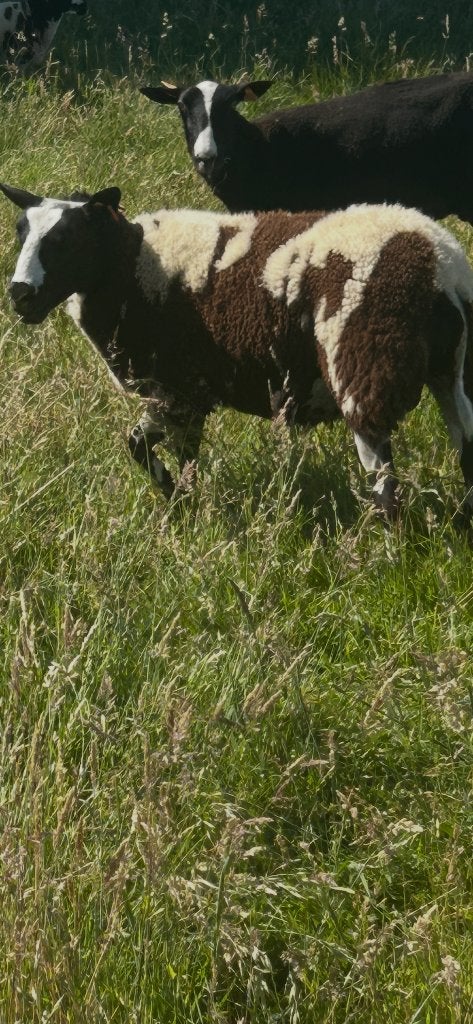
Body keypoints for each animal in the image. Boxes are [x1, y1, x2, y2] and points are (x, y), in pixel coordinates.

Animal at [2, 180, 473, 520]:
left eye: (66, 239)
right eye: (21, 232)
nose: (20, 294)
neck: (131, 268)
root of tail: (440, 265)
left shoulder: (176, 389)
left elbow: (139, 445)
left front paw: (175, 499)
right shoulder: (187, 394)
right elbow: (175, 452)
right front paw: (185, 504)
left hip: (361, 367)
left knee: (384, 480)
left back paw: (386, 551)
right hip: (453, 370)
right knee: (466, 442)